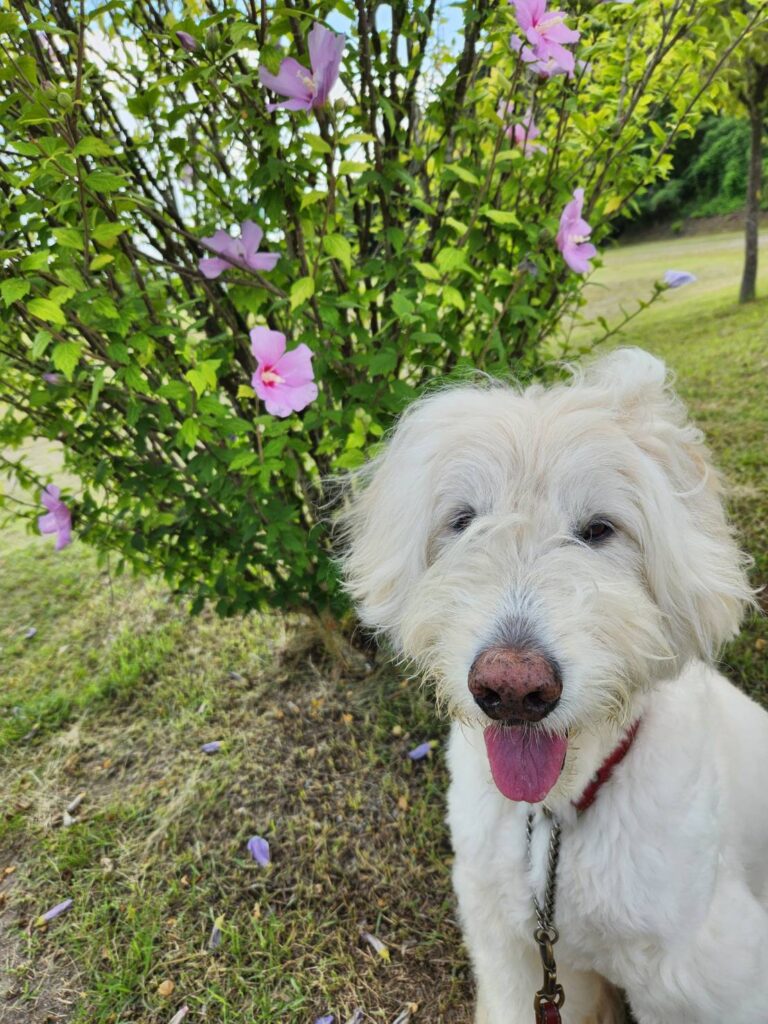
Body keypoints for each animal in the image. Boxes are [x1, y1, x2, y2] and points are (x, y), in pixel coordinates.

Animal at [342, 350, 768, 1024]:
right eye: (464, 521)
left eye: (598, 529)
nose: (513, 689)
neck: (555, 820)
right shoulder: (514, 951)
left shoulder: (704, 969)